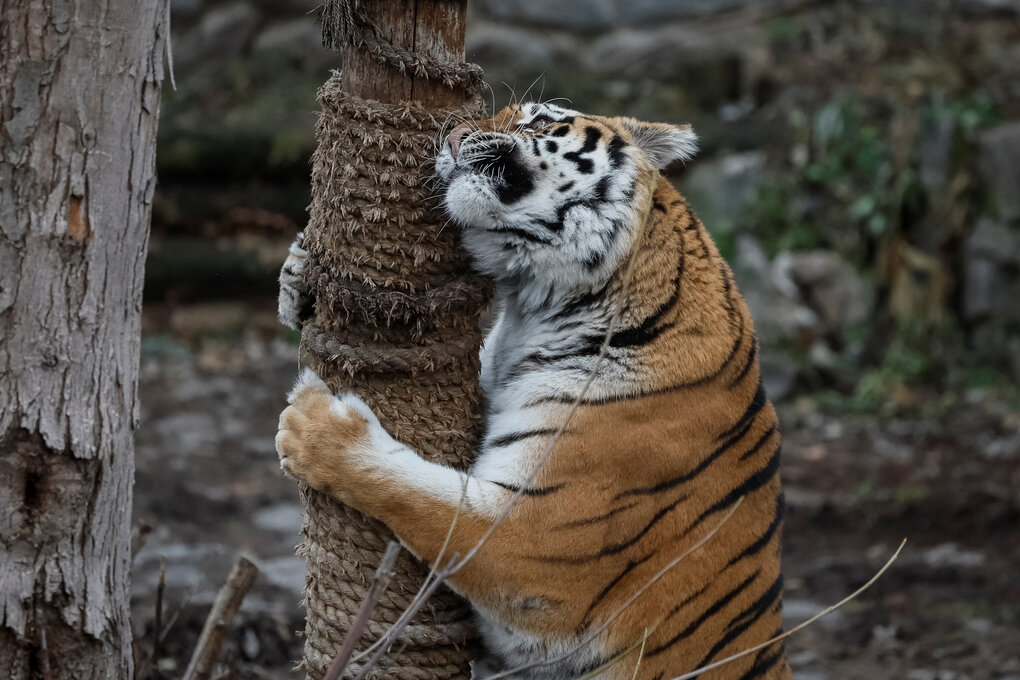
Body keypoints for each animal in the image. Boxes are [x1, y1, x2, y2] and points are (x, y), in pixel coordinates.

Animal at [275, 102, 791, 680]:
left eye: (539, 120)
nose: (451, 134)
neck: (537, 306)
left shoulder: (533, 544)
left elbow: (413, 493)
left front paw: (315, 428)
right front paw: (301, 273)